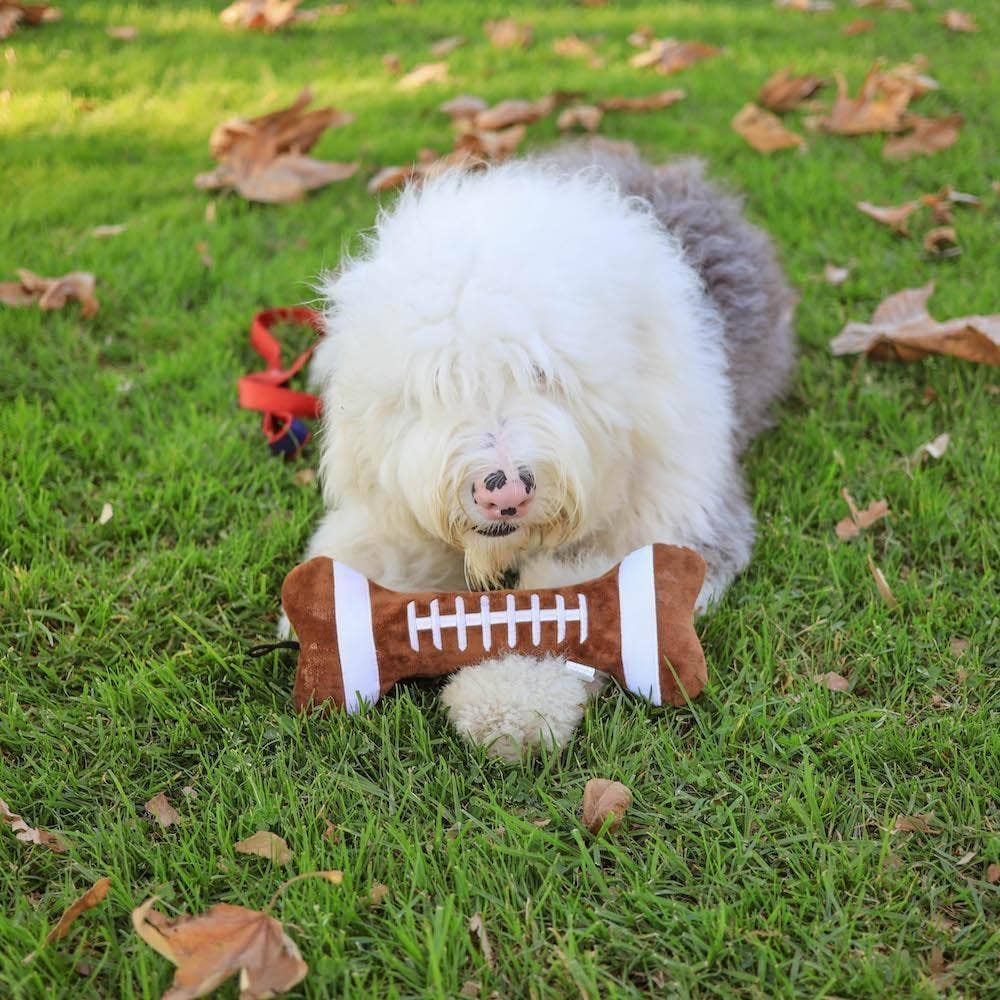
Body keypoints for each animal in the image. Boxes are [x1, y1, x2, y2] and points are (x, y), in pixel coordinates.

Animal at [292, 141, 792, 756]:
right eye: (441, 381)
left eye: (544, 374)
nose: (503, 491)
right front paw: (329, 618)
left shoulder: (669, 518)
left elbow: (564, 606)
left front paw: (507, 699)